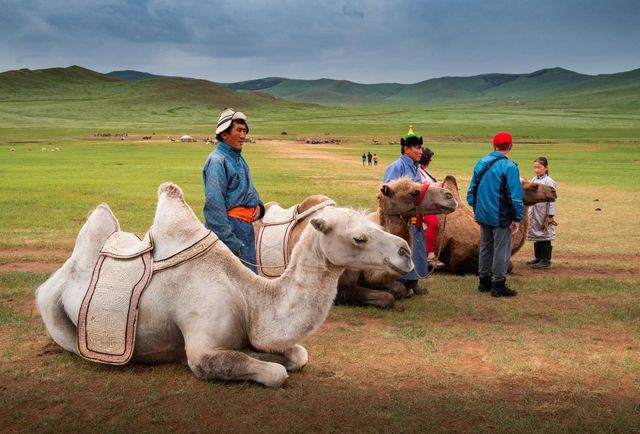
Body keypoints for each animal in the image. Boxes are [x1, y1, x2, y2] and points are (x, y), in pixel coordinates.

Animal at [36, 183, 410, 386]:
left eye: (372, 226)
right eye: (359, 238)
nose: (405, 252)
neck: (249, 299)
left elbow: (296, 355)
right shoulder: (202, 352)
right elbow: (274, 373)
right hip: (52, 309)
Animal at [252, 179, 458, 308]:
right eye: (414, 192)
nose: (450, 196)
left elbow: (399, 289)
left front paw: (404, 290)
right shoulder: (340, 287)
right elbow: (387, 298)